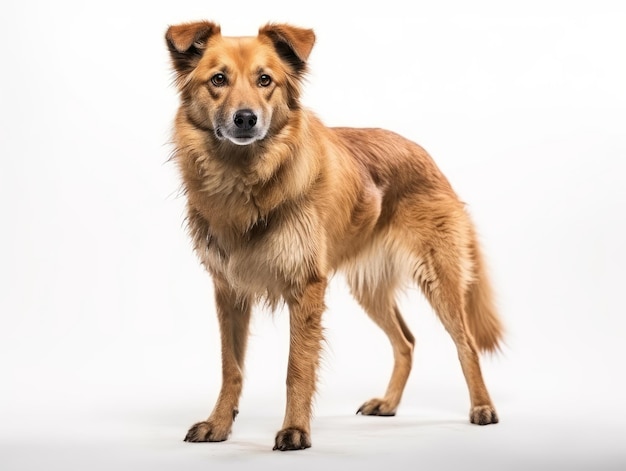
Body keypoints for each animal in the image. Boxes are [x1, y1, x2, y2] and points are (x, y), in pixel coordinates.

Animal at [163, 20, 500, 452]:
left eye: (265, 80)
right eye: (218, 79)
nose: (246, 119)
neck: (245, 177)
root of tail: (425, 155)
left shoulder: (306, 287)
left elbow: (297, 367)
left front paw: (295, 431)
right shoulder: (229, 291)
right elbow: (231, 367)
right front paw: (218, 425)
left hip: (439, 279)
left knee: (466, 343)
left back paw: (482, 408)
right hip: (370, 289)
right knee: (406, 341)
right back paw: (388, 404)